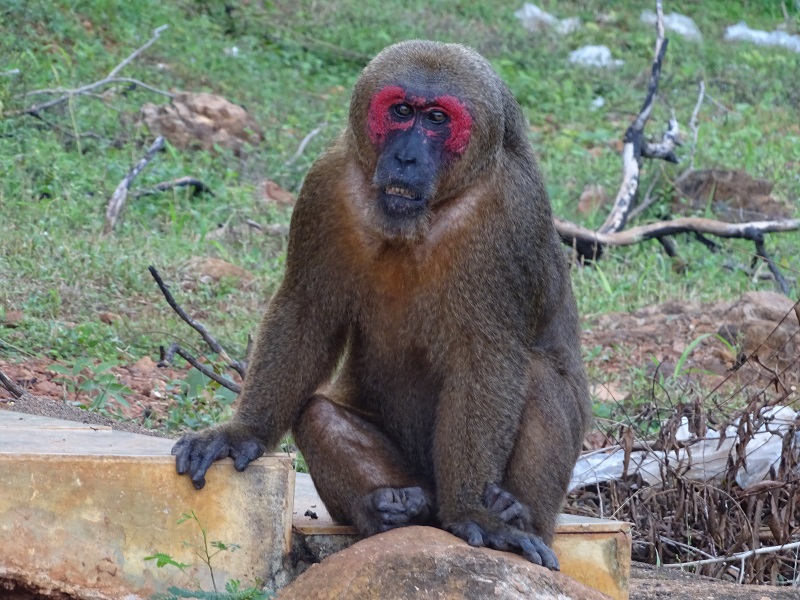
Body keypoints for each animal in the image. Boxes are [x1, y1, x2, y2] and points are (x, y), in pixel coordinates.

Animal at [172, 40, 591, 570]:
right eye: (401, 112)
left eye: (437, 118)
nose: (407, 157)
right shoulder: (327, 184)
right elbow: (306, 310)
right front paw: (244, 430)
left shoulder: (509, 213)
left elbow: (488, 356)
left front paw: (475, 512)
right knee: (317, 414)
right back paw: (393, 509)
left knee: (537, 375)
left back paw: (502, 516)